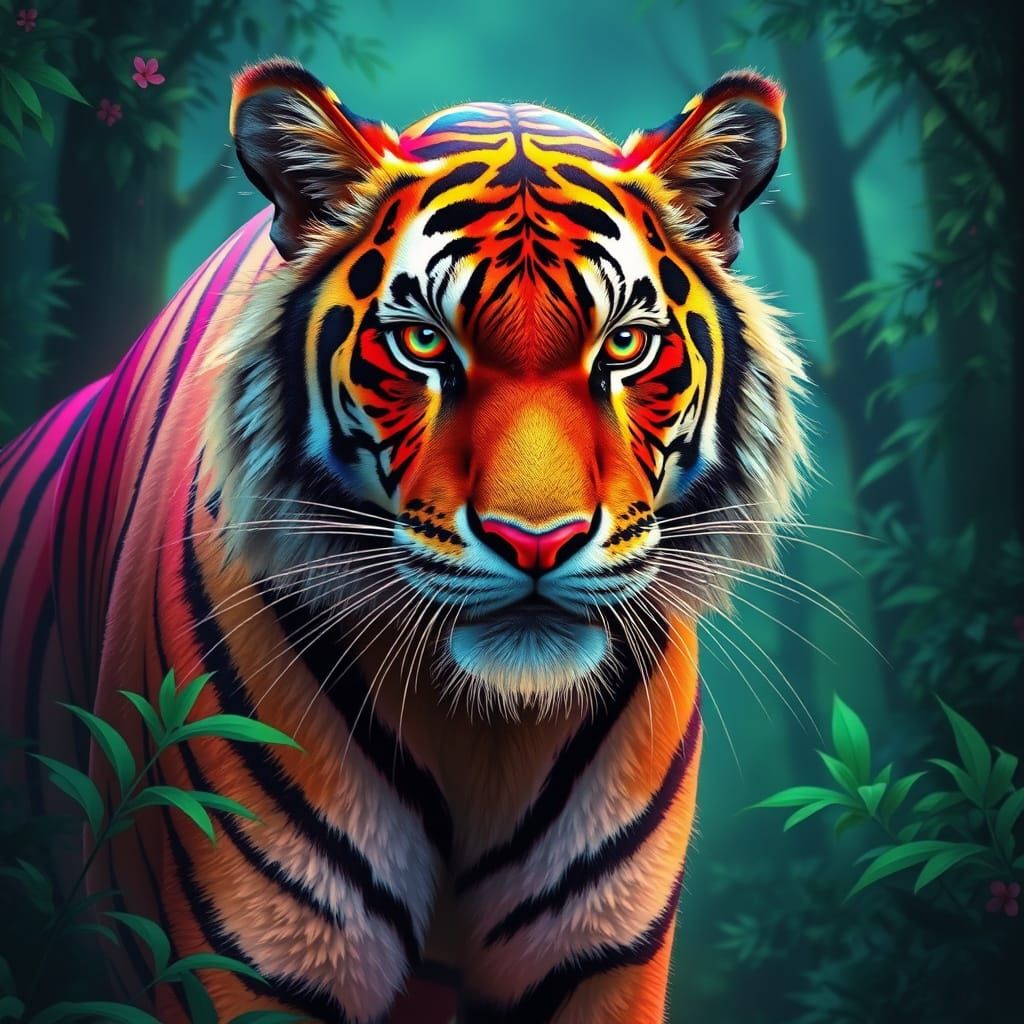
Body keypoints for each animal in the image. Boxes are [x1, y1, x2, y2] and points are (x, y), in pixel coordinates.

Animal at [0, 58, 803, 1022]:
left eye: (625, 346)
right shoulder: (231, 957)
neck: (482, 727)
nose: (538, 542)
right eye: (423, 342)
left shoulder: (602, 957)